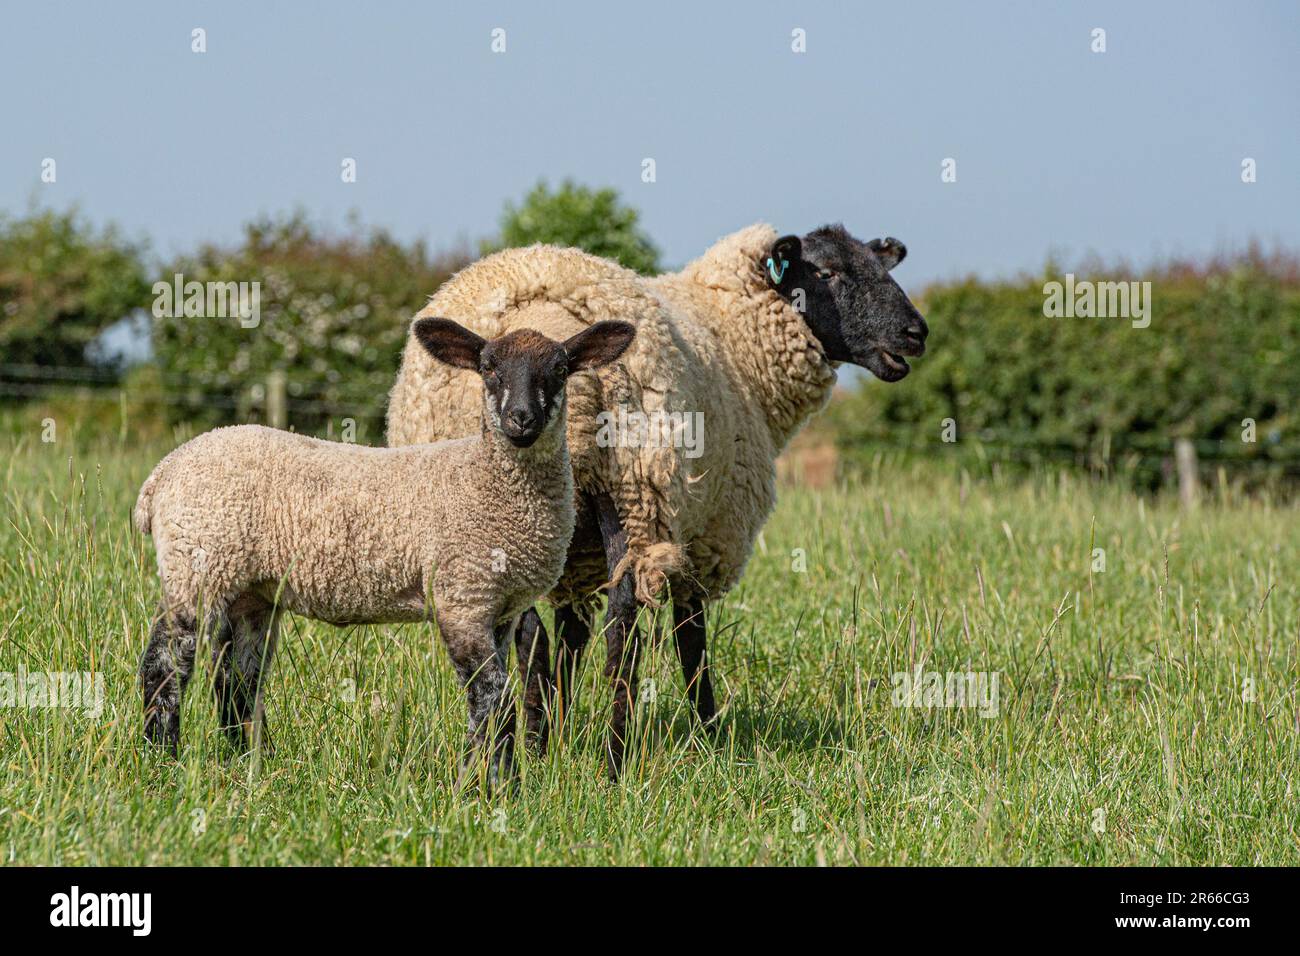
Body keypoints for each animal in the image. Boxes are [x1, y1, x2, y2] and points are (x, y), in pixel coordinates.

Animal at [134, 317, 637, 783]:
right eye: (489, 368)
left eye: (559, 369)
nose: (521, 419)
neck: (483, 478)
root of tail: (161, 474)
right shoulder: (463, 597)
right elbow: (492, 695)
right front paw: (489, 786)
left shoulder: (501, 608)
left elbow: (496, 697)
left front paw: (493, 774)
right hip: (196, 563)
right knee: (165, 662)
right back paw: (162, 757)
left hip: (250, 591)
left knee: (238, 679)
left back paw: (251, 760)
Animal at [386, 223, 928, 775]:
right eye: (827, 272)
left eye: (880, 266)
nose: (916, 333)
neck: (732, 338)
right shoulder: (706, 537)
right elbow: (691, 641)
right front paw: (710, 736)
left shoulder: (575, 556)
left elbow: (569, 640)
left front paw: (554, 735)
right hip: (633, 489)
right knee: (622, 628)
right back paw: (613, 761)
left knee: (543, 632)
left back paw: (553, 749)